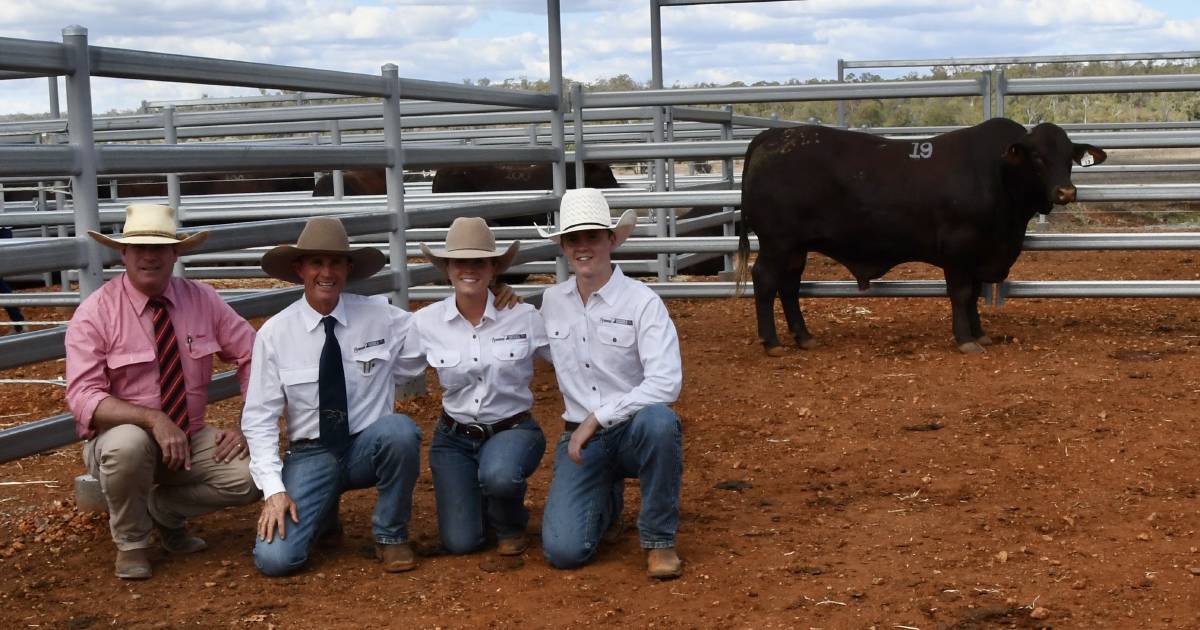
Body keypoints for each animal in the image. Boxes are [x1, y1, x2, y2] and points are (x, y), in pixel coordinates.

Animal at [729, 117, 1104, 352]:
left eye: (1069, 157)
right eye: (1037, 156)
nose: (1066, 192)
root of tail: (770, 137)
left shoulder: (979, 254)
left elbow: (974, 294)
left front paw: (980, 334)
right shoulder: (958, 250)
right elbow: (962, 294)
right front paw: (965, 339)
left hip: (796, 247)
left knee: (789, 285)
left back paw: (804, 337)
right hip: (777, 242)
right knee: (765, 280)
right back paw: (772, 342)